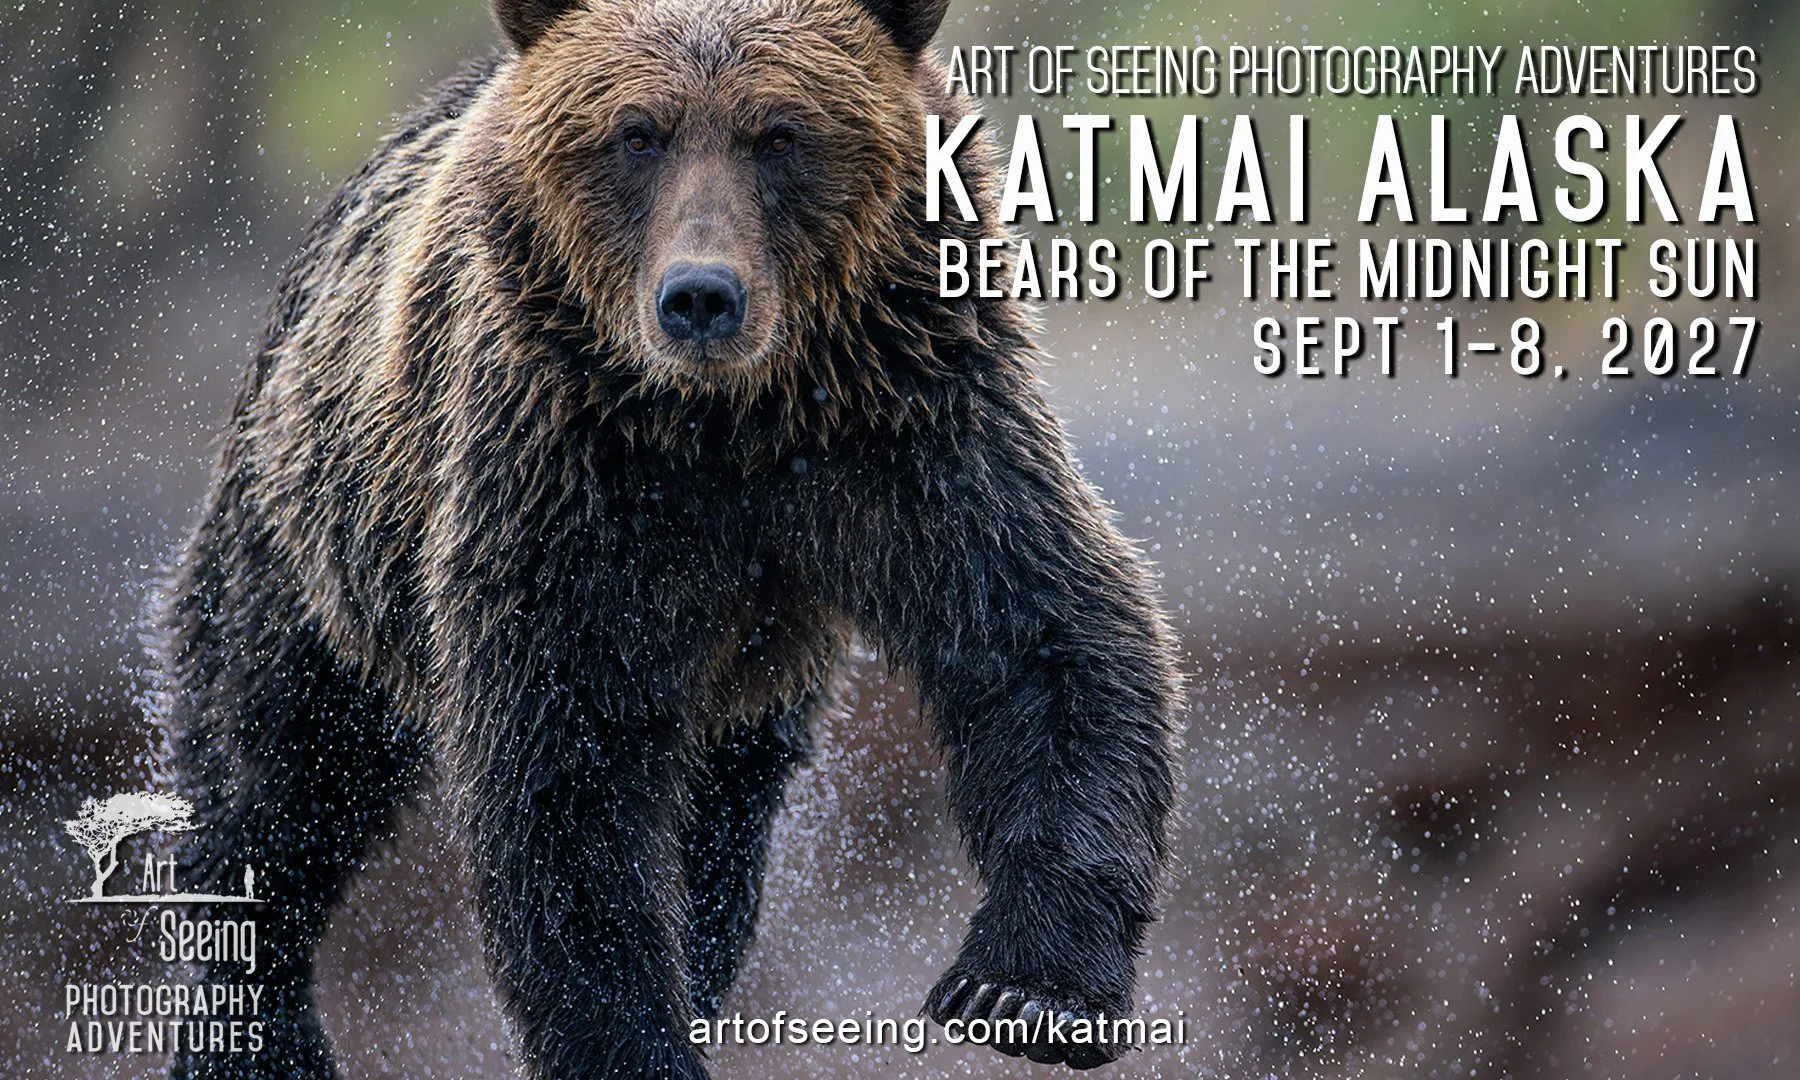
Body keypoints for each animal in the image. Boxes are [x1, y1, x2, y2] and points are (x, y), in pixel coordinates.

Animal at [156, 0, 1181, 1076]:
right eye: (635, 134)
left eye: (781, 134)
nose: (699, 297)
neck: (730, 424)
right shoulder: (564, 476)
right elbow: (568, 773)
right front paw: (630, 1039)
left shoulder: (914, 430)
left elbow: (1045, 639)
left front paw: (1028, 989)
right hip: (314, 525)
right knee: (274, 767)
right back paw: (254, 1030)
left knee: (719, 830)